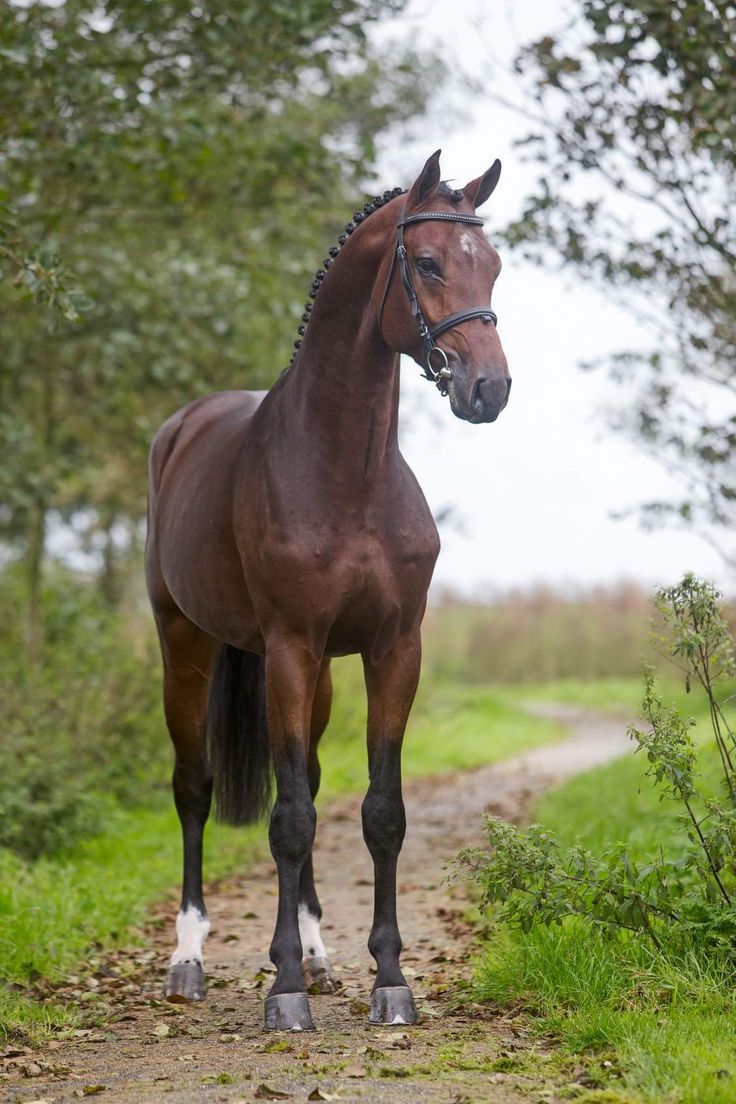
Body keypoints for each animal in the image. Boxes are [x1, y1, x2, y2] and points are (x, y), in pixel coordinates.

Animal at [145, 151, 512, 1028]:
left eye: (492, 264)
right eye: (427, 262)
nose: (489, 389)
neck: (344, 470)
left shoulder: (391, 650)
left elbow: (378, 811)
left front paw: (389, 980)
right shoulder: (287, 647)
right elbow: (288, 820)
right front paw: (280, 990)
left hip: (316, 679)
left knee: (304, 775)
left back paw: (317, 956)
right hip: (185, 645)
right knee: (195, 788)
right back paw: (189, 959)